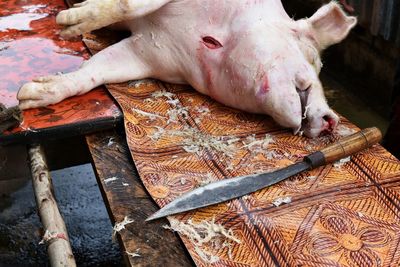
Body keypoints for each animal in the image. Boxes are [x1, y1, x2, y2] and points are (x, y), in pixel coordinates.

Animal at [17, 0, 358, 137]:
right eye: (312, 59)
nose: (331, 121)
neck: (213, 39)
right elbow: (129, 5)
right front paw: (68, 23)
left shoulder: (149, 54)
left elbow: (98, 68)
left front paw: (27, 96)